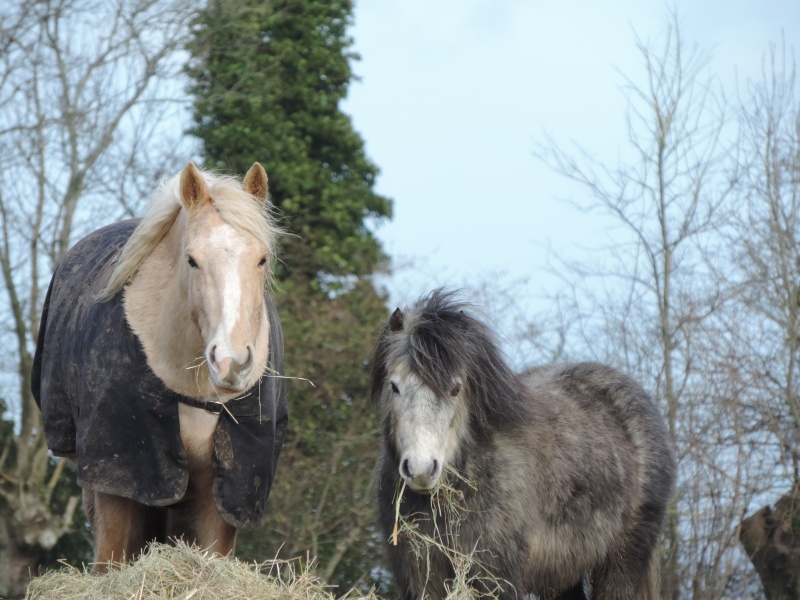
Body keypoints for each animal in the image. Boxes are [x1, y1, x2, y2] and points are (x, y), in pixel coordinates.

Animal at [32, 162, 288, 568]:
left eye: (262, 259)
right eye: (192, 260)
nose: (231, 363)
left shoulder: (225, 492)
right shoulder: (121, 476)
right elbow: (110, 559)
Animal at [368, 288, 676, 596]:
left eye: (455, 389)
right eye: (394, 386)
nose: (421, 470)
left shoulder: (495, 578)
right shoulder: (420, 577)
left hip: (621, 563)